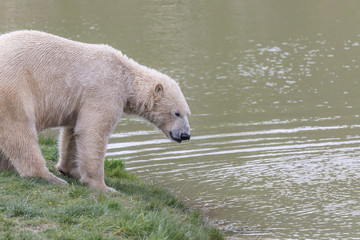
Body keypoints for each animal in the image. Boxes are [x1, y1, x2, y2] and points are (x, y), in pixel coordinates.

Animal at [0, 30, 191, 191]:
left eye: (187, 113)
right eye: (177, 113)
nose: (186, 135)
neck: (126, 77)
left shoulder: (80, 102)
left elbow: (73, 132)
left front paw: (70, 170)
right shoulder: (105, 91)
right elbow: (92, 131)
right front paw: (103, 187)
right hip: (14, 86)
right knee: (19, 128)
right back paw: (47, 177)